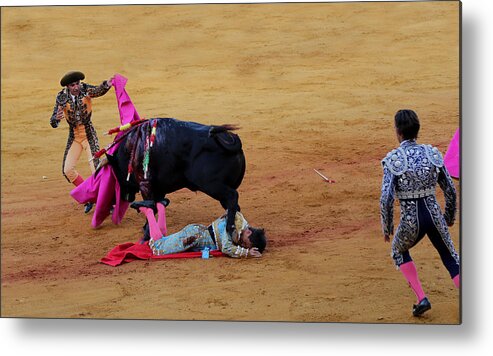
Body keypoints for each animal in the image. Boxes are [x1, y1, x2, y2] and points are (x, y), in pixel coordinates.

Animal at [107, 118, 246, 238]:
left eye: (116, 172)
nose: (126, 197)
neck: (131, 148)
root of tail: (231, 139)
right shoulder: (159, 188)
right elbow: (156, 206)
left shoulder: (145, 184)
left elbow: (150, 206)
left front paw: (148, 230)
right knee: (234, 206)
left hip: (210, 185)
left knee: (232, 196)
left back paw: (230, 229)